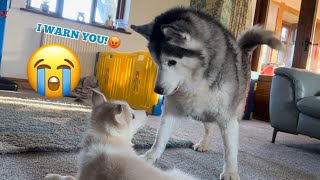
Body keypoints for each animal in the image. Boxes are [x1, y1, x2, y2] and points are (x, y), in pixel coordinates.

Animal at [131, 7, 282, 180]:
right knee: (209, 127)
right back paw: (204, 143)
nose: (158, 90)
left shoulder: (227, 117)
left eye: (172, 62)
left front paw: (230, 172)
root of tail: (242, 50)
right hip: (202, 112)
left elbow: (230, 150)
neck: (196, 80)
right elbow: (160, 137)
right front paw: (149, 157)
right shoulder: (172, 109)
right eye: (156, 62)